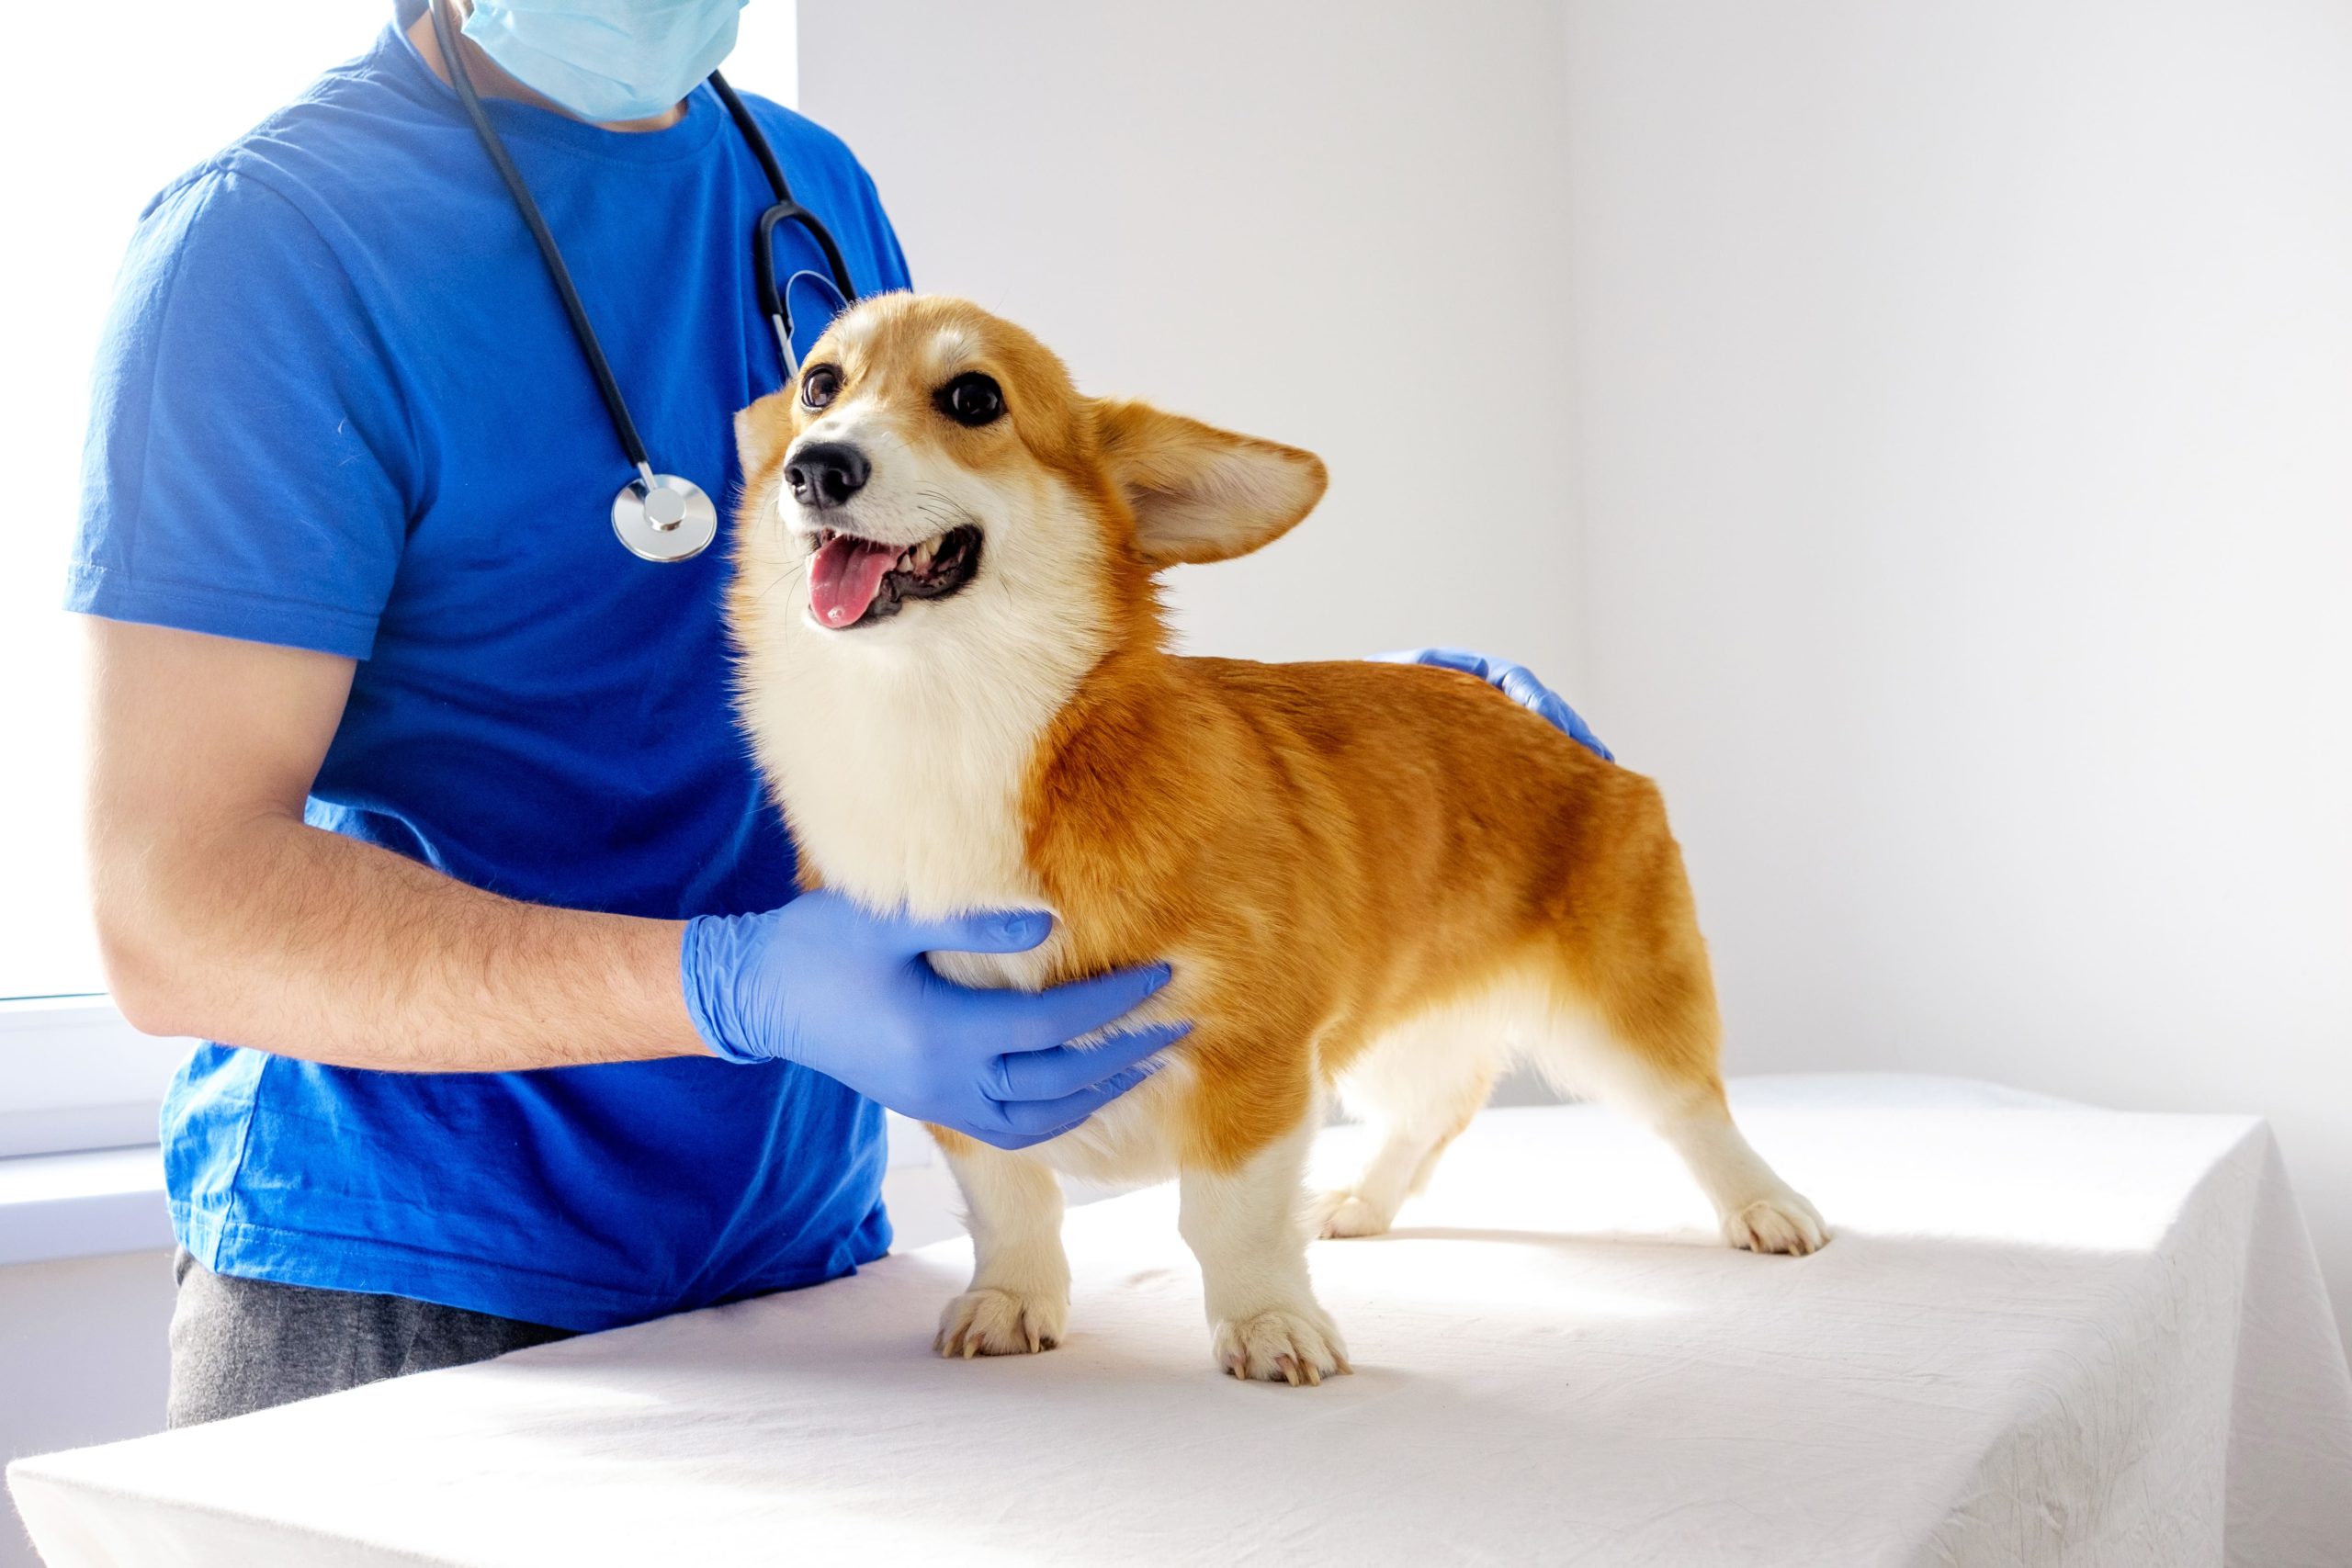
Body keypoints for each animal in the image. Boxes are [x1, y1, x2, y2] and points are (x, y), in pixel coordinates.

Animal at [724, 291, 1825, 1382]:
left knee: (1693, 1106)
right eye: (820, 384)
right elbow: (1012, 1205)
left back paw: (1769, 1207)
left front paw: (1267, 1324)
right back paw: (1362, 1202)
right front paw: (1011, 1301)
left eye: (972, 398)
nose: (817, 465)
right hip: (1388, 1022)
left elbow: (1230, 1214)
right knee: (1433, 1111)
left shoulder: (1256, 1053)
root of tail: (1553, 725)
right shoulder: (952, 1064)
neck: (940, 725)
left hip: (1620, 1003)